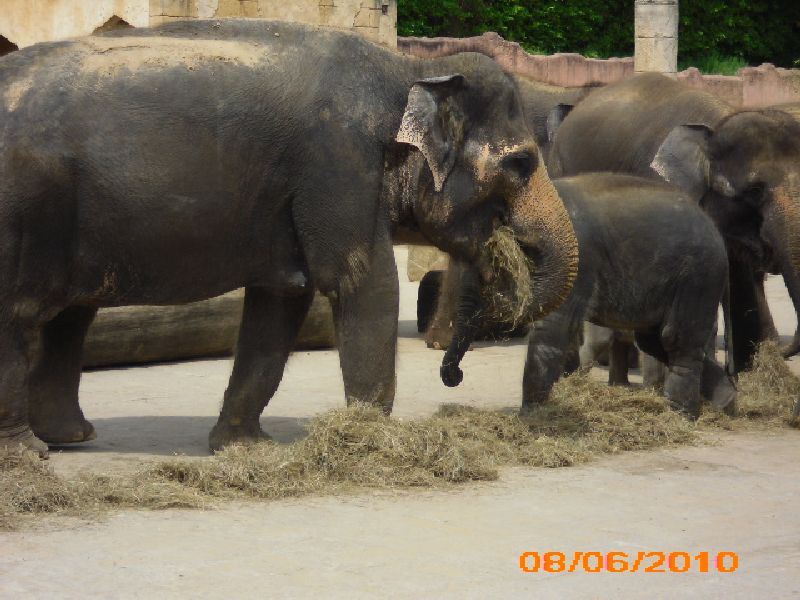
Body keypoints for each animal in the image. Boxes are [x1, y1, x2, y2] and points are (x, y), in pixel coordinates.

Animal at [0, 21, 580, 458]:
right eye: (521, 163)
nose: (451, 375)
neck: (407, 71)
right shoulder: (339, 161)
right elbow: (361, 281)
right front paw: (373, 441)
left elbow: (280, 302)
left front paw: (243, 448)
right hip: (22, 208)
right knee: (19, 315)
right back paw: (29, 454)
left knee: (71, 314)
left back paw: (71, 438)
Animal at [440, 171, 736, 420]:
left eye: (489, 271)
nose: (456, 376)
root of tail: (716, 231)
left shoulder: (578, 260)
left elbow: (552, 329)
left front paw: (531, 417)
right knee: (653, 341)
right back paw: (726, 403)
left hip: (699, 278)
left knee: (675, 339)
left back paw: (681, 415)